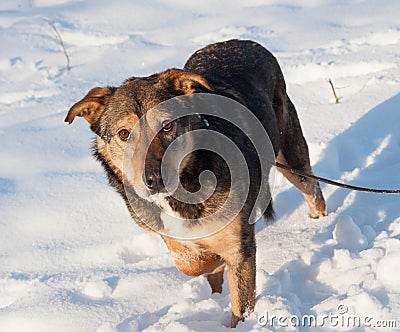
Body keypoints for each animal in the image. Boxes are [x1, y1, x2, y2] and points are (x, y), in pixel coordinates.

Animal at [65, 39, 326, 326]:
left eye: (167, 126)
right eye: (124, 134)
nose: (155, 179)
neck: (185, 187)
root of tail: (243, 42)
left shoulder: (239, 247)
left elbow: (238, 299)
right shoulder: (164, 227)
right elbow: (189, 262)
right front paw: (207, 262)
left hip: (289, 155)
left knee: (314, 191)